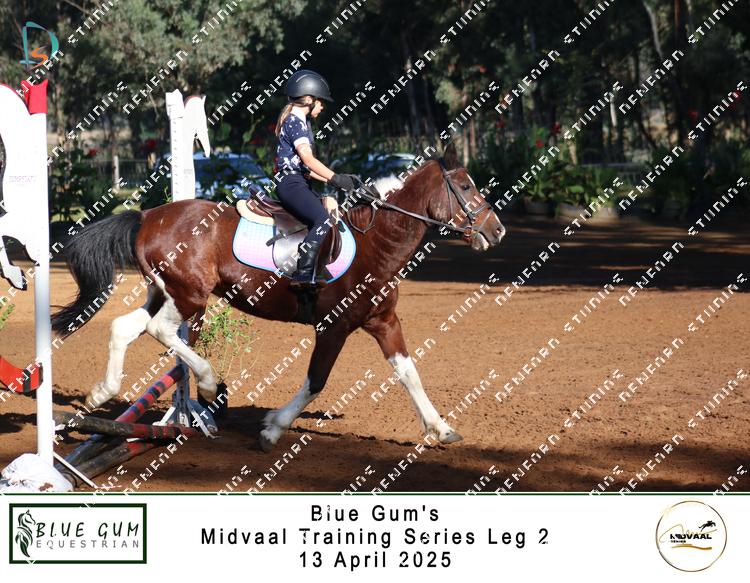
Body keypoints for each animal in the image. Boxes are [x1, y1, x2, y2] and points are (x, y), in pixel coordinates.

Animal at [51, 143, 506, 451]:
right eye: (465, 186)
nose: (497, 230)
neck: (376, 241)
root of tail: (147, 216)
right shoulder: (333, 327)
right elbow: (316, 381)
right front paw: (272, 428)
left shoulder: (383, 322)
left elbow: (409, 373)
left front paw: (441, 428)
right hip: (190, 297)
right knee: (161, 331)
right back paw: (209, 384)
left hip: (165, 292)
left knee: (125, 327)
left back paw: (102, 392)